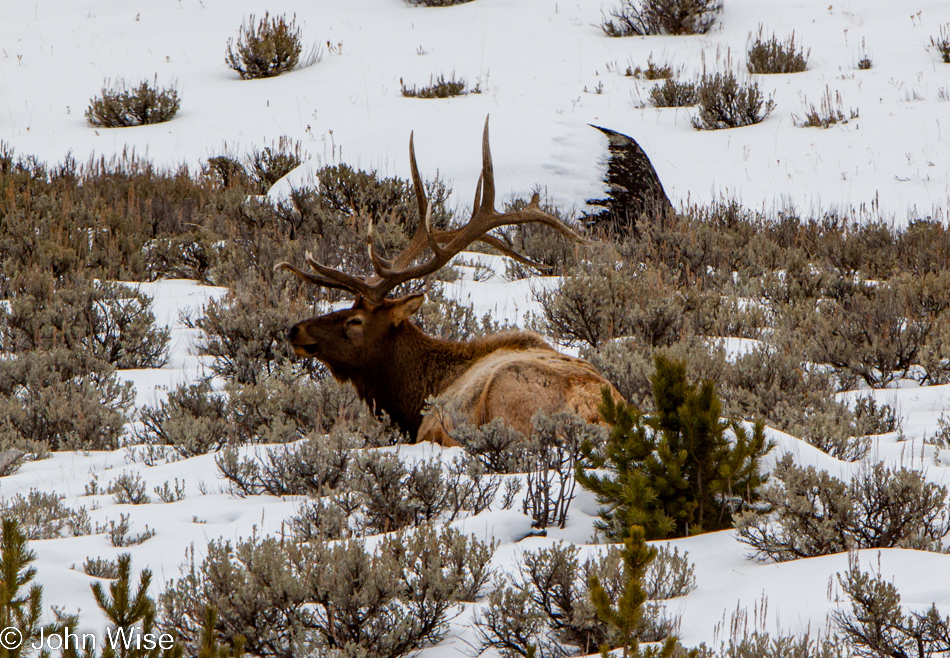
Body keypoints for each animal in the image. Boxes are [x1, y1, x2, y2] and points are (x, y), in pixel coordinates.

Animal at [278, 118, 624, 446]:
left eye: (356, 320)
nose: (295, 329)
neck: (415, 396)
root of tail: (599, 416)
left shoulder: (428, 426)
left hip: (505, 391)